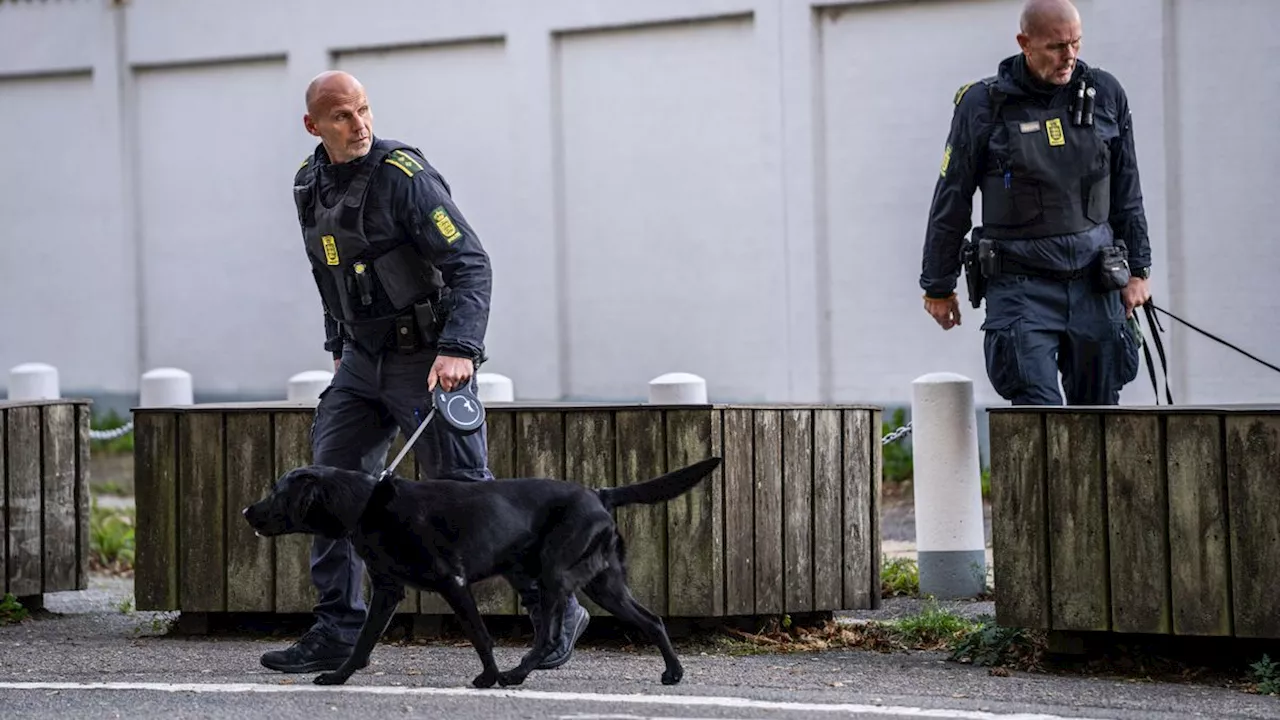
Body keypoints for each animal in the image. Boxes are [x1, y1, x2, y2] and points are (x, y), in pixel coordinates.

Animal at [240, 453, 721, 681]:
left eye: (276, 491)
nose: (247, 510)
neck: (368, 504)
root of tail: (600, 493)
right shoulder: (387, 591)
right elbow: (362, 643)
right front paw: (336, 678)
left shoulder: (453, 582)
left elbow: (480, 636)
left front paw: (488, 678)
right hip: (603, 584)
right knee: (653, 619)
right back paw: (673, 673)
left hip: (555, 575)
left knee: (549, 635)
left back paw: (513, 676)